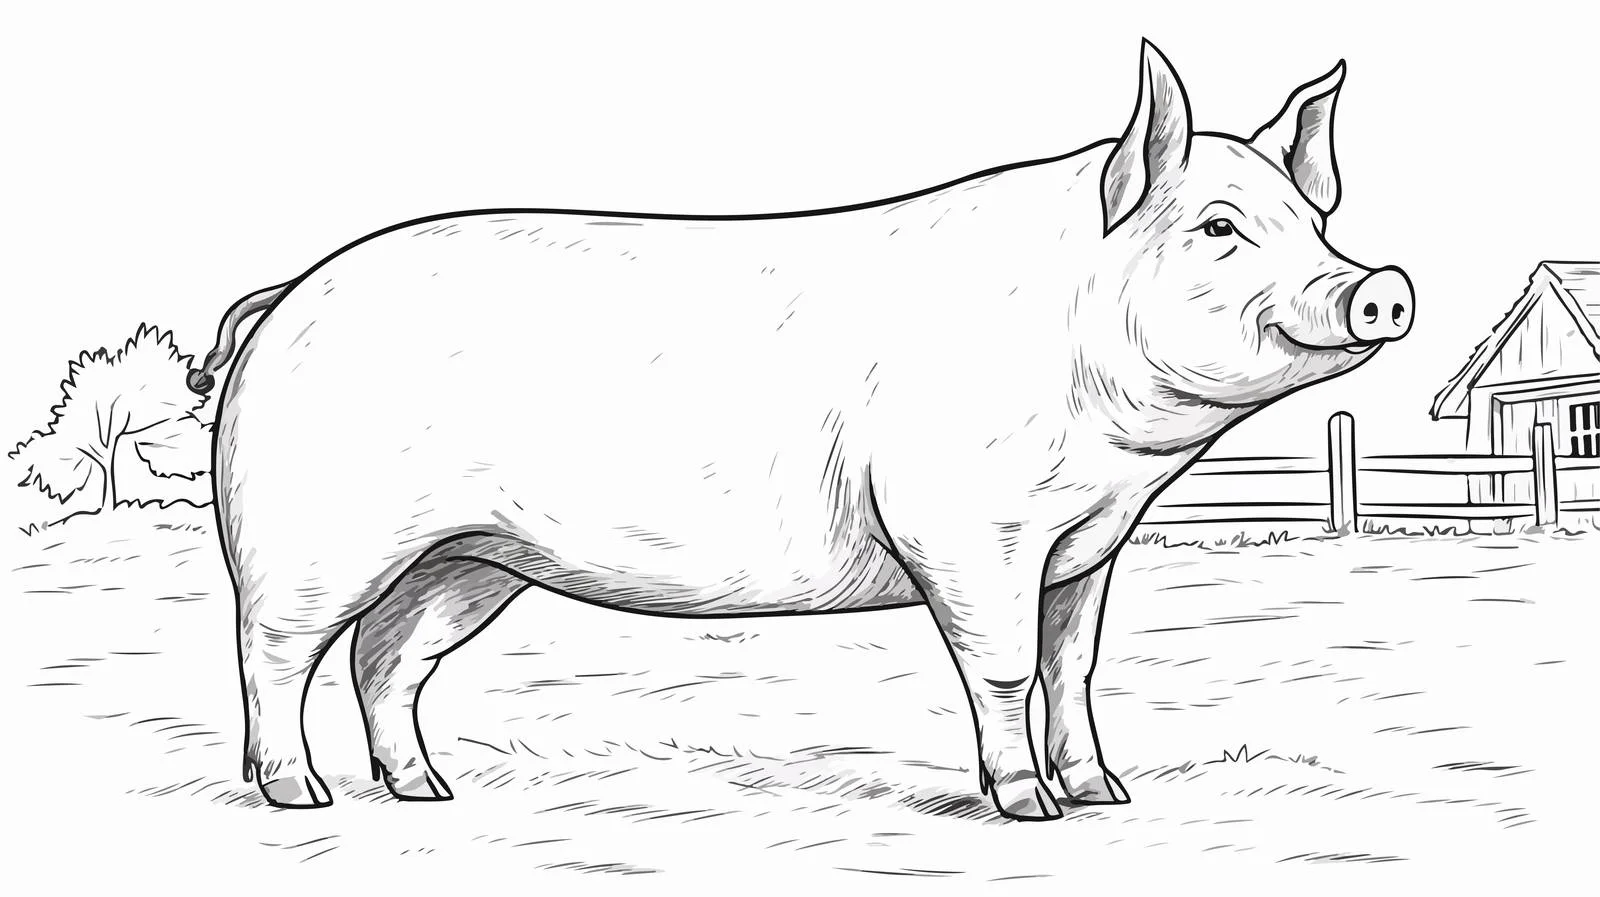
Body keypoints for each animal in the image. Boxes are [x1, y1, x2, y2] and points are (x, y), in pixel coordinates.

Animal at [189, 41, 1412, 821]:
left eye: (1314, 221)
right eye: (1218, 228)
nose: (1381, 285)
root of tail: (283, 296)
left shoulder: (1082, 545)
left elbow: (1073, 664)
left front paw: (1106, 794)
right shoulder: (963, 529)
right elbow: (1006, 666)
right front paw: (1031, 811)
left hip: (467, 558)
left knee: (385, 658)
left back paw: (427, 792)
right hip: (308, 537)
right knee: (272, 652)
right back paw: (297, 797)